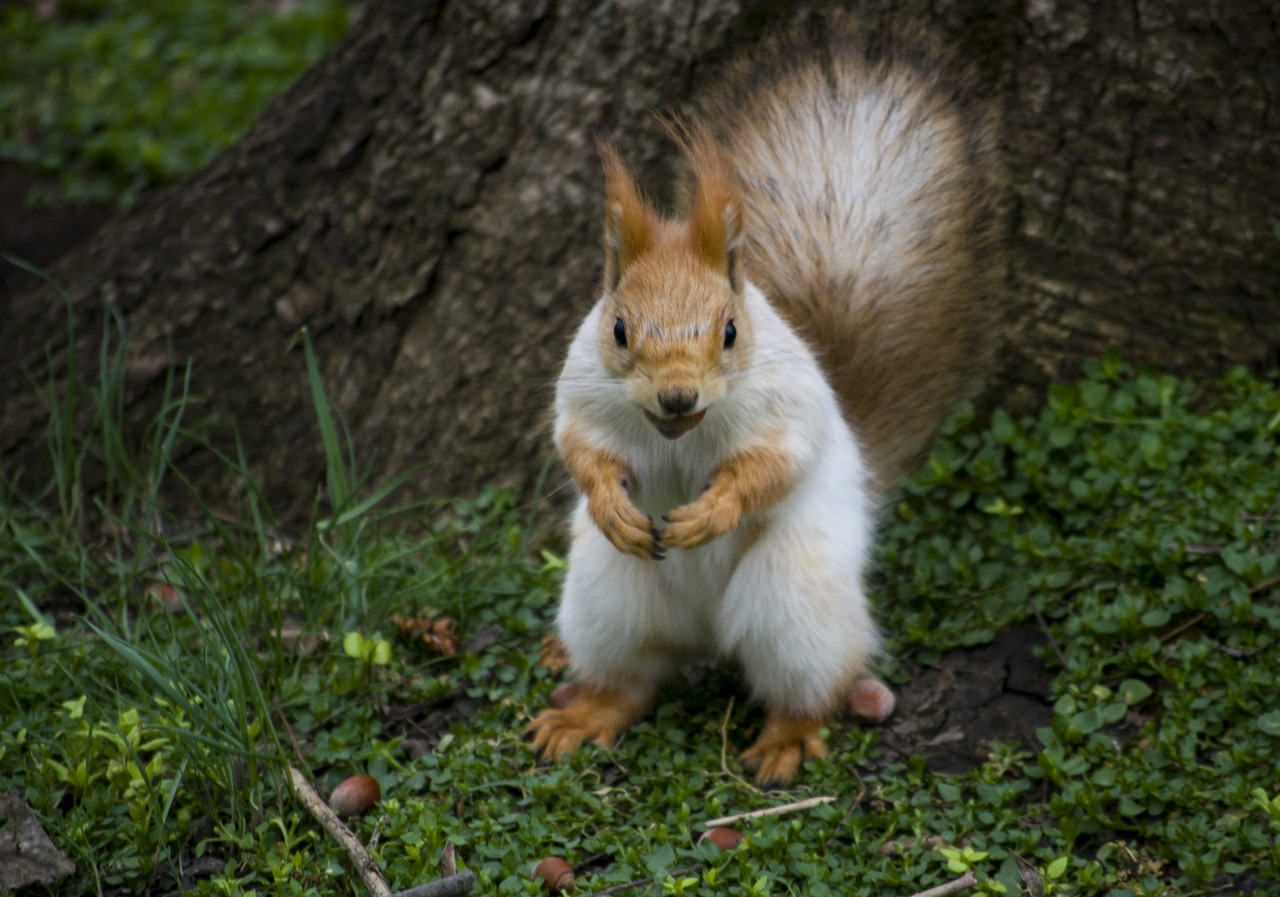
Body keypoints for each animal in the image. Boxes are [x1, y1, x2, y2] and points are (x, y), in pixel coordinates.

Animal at [524, 19, 1003, 783]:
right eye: (619, 328)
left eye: (729, 330)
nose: (677, 394)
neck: (678, 435)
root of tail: (704, 634)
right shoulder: (582, 392)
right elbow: (579, 449)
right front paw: (609, 503)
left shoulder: (788, 408)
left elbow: (773, 464)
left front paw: (714, 509)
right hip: (606, 598)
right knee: (631, 679)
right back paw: (585, 714)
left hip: (793, 600)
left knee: (808, 685)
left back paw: (785, 740)